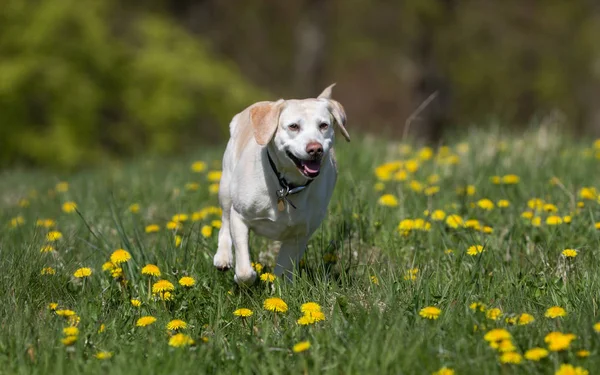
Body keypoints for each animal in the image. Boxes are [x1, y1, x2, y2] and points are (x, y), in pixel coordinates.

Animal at [213, 85, 350, 284]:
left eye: (323, 125)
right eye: (293, 126)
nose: (315, 148)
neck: (287, 186)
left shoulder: (300, 234)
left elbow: (284, 269)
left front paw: (279, 286)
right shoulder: (239, 217)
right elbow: (245, 270)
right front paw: (244, 277)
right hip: (226, 187)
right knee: (224, 221)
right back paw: (223, 258)